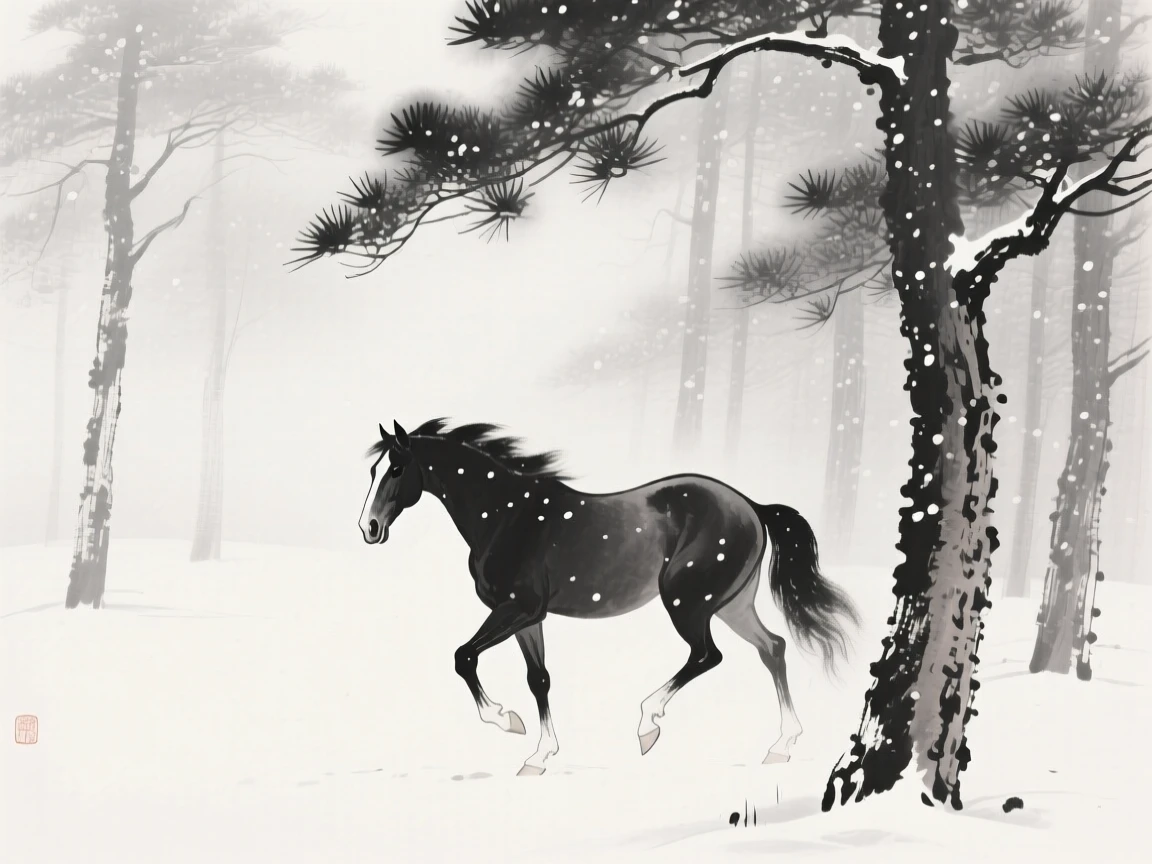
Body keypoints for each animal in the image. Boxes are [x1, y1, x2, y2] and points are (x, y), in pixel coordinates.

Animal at [359, 418, 860, 776]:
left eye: (397, 469)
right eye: (372, 470)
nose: (369, 528)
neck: (505, 514)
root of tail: (752, 506)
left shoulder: (517, 607)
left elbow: (464, 657)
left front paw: (507, 721)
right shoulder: (529, 617)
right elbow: (539, 679)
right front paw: (538, 757)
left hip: (688, 602)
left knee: (707, 655)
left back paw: (648, 725)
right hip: (732, 604)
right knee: (772, 648)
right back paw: (781, 747)